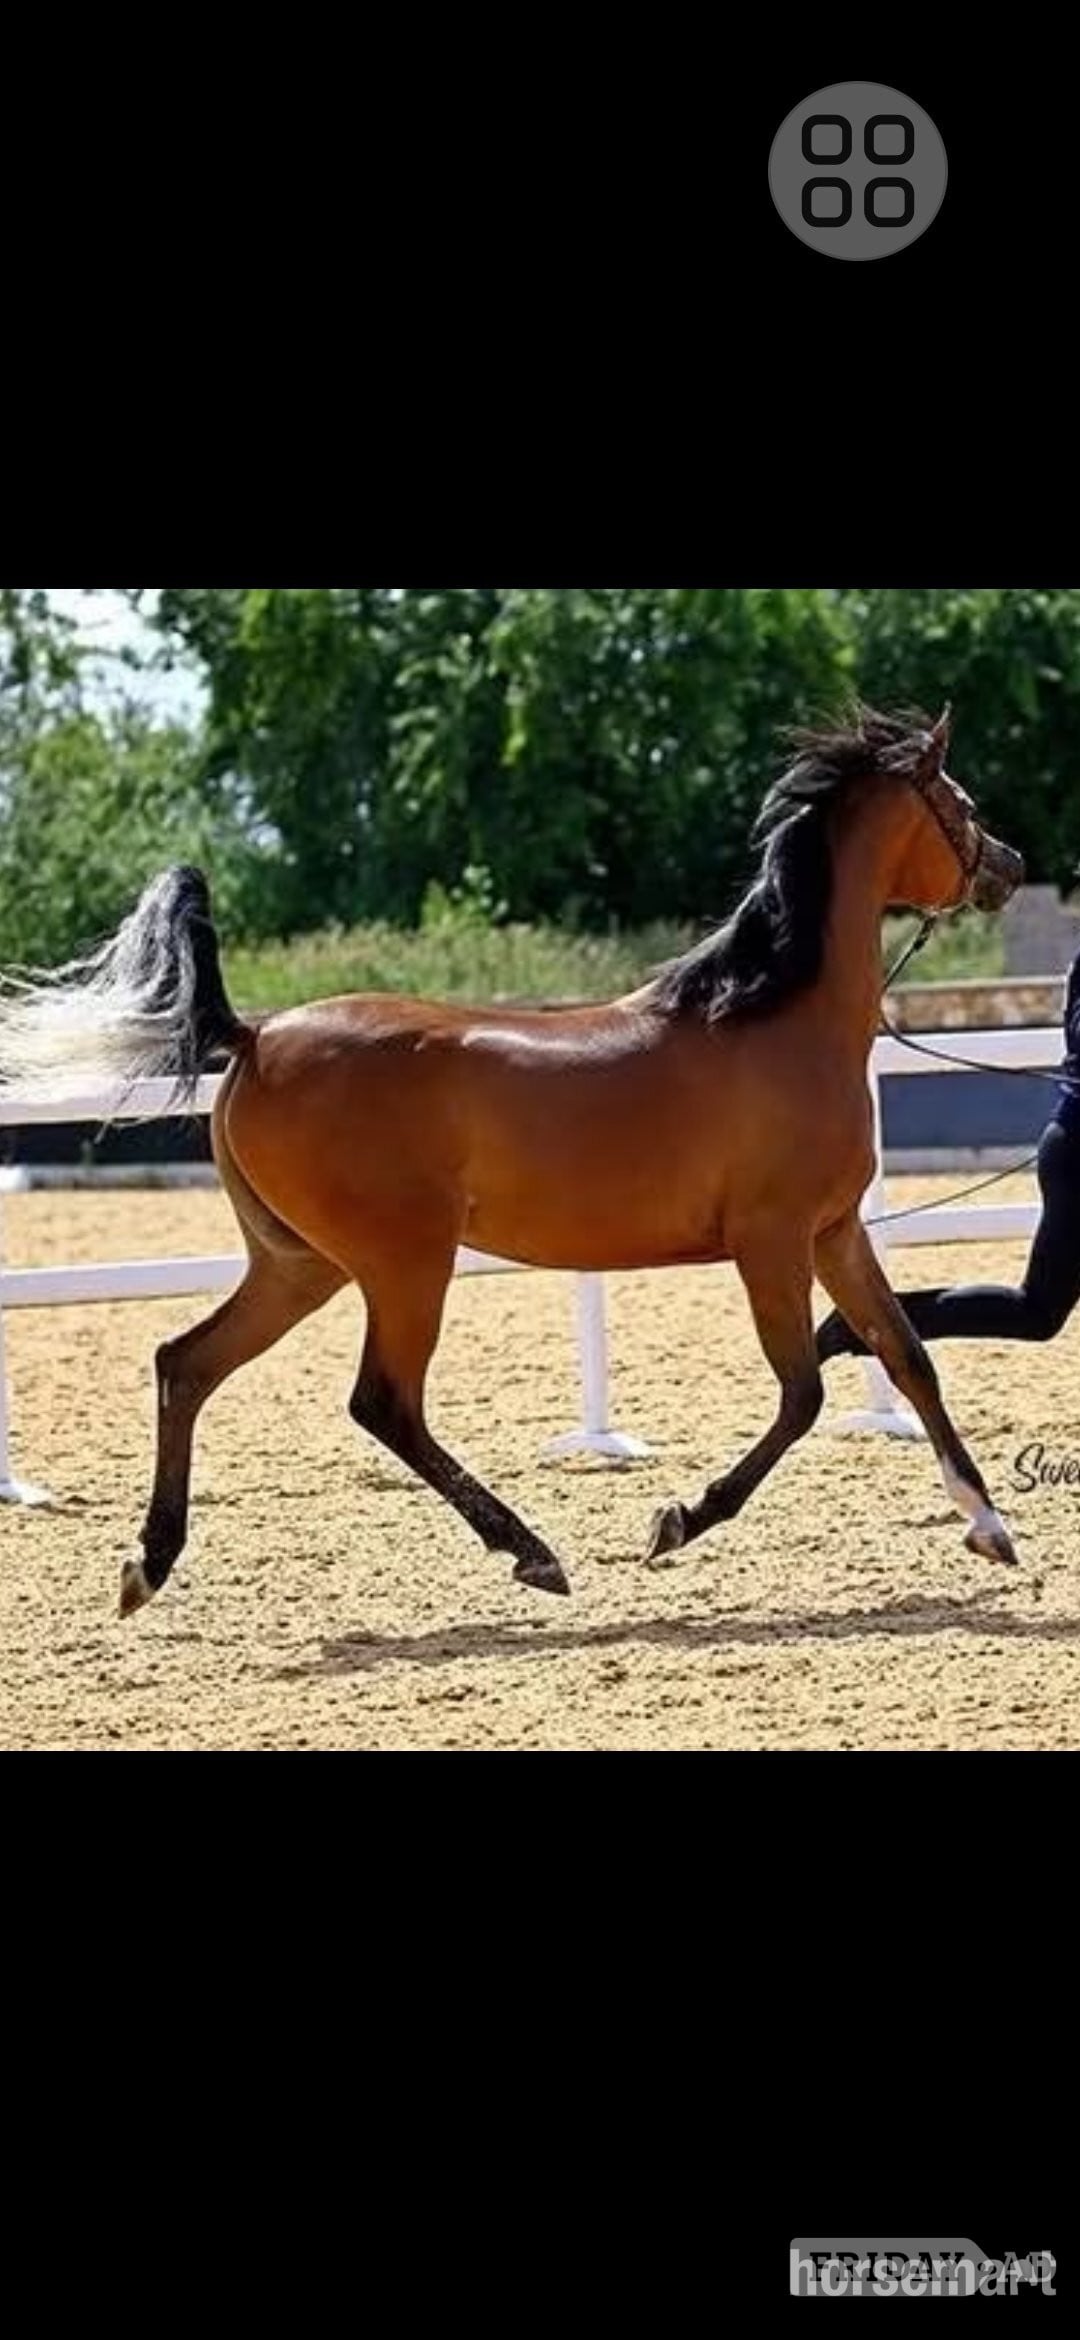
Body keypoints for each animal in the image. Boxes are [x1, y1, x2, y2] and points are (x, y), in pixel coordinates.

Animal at [0, 706, 1025, 1618]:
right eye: (961, 803)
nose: (1010, 868)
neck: (773, 1018)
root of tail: (253, 1036)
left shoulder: (835, 1231)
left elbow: (908, 1355)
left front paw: (989, 1526)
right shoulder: (770, 1241)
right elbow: (803, 1393)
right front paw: (678, 1521)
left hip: (300, 1265)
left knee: (188, 1364)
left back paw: (149, 1565)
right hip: (404, 1264)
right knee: (384, 1403)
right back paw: (533, 1554)